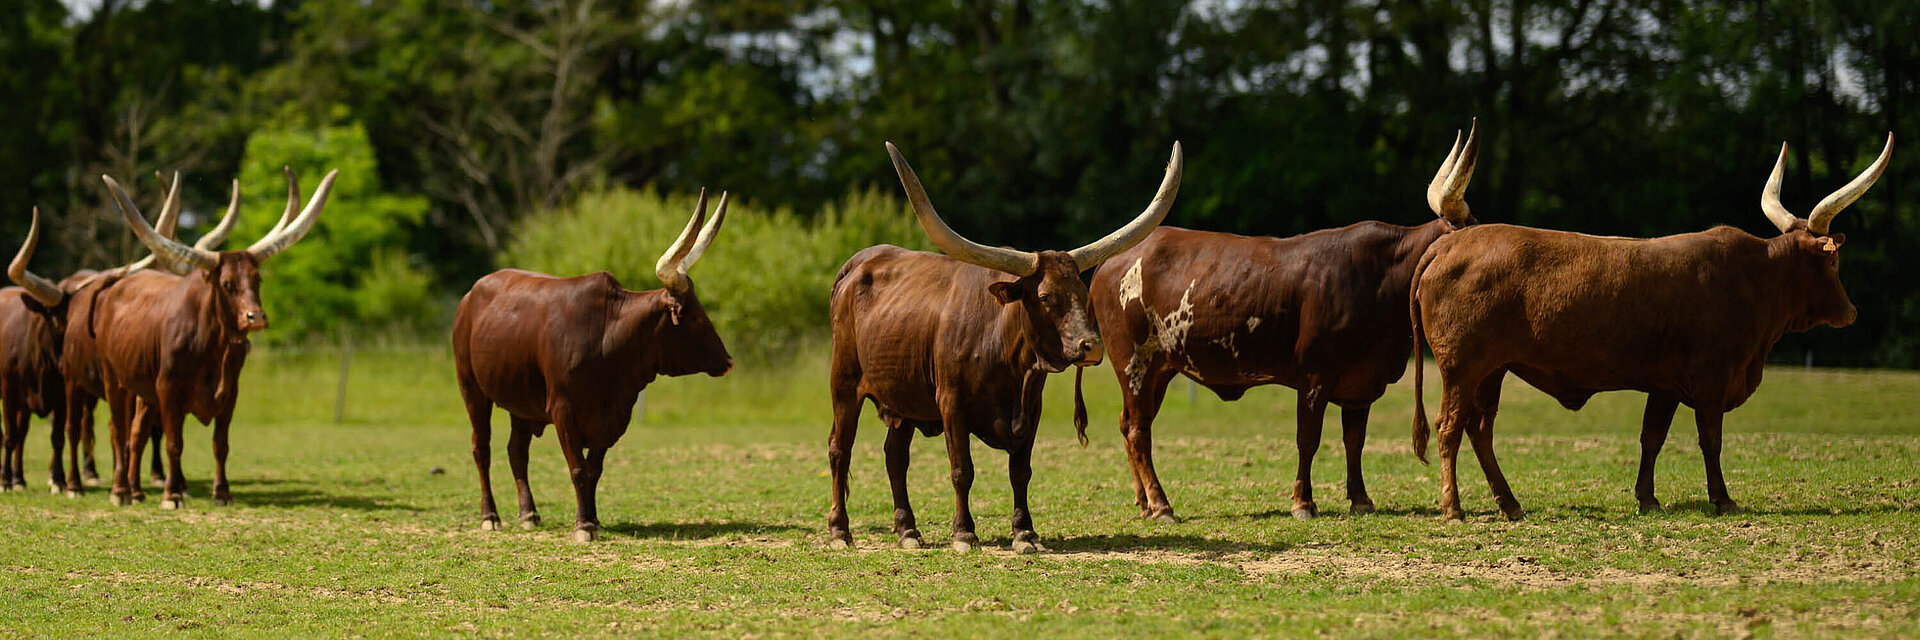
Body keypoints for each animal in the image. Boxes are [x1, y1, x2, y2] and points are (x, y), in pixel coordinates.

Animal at [92, 169, 337, 508]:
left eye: (257, 279)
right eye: (227, 283)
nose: (256, 317)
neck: (213, 348)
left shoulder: (230, 392)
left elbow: (220, 444)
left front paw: (221, 492)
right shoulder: (168, 388)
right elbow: (174, 443)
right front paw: (172, 495)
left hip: (143, 389)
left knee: (138, 433)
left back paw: (138, 490)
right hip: (114, 379)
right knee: (120, 432)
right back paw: (120, 492)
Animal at [452, 190, 733, 542]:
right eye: (694, 316)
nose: (727, 360)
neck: (608, 337)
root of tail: (470, 295)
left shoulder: (613, 416)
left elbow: (594, 469)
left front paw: (594, 519)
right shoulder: (563, 409)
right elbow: (577, 468)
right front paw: (583, 525)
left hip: (521, 401)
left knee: (517, 451)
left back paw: (528, 513)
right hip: (471, 389)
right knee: (482, 448)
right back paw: (490, 516)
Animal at [826, 142, 1182, 553]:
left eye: (1083, 294)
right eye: (1044, 297)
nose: (1090, 346)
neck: (1006, 361)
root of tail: (856, 264)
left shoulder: (1032, 410)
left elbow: (1020, 471)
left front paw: (1024, 532)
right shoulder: (951, 403)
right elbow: (962, 470)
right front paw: (964, 532)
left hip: (903, 397)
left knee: (895, 456)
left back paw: (907, 531)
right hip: (844, 383)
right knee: (840, 449)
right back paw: (840, 531)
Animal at [1082, 122, 1481, 522]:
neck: (1379, 277)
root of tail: (1109, 263)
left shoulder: (1359, 384)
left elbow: (1355, 440)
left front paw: (1361, 499)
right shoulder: (1314, 377)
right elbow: (1308, 440)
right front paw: (1303, 502)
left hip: (1160, 370)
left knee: (1129, 424)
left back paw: (1143, 502)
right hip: (1134, 364)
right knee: (1139, 431)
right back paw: (1161, 504)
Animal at [1409, 134, 1891, 521]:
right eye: (1832, 261)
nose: (1851, 311)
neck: (1754, 277)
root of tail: (1449, 243)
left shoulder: (1666, 385)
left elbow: (1652, 438)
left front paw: (1648, 498)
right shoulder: (1711, 382)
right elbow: (1710, 440)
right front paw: (1723, 499)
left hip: (1492, 371)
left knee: (1480, 429)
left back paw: (1510, 504)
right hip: (1460, 367)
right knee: (1450, 426)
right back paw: (1453, 508)